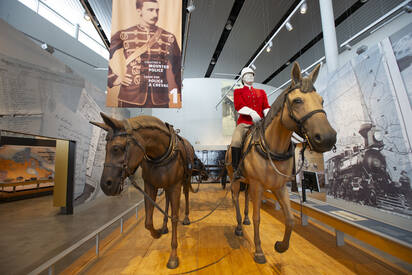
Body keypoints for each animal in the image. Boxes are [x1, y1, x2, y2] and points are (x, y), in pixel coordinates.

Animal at [91, 113, 196, 270]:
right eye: (105, 148)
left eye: (116, 148)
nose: (105, 185)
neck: (160, 154)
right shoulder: (150, 186)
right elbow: (148, 221)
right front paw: (157, 233)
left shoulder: (175, 186)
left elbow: (175, 217)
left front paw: (173, 256)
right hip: (166, 185)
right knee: (167, 202)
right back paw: (164, 226)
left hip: (186, 179)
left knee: (187, 195)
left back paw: (186, 218)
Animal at [227, 62, 336, 266]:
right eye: (297, 100)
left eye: (322, 100)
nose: (327, 138)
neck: (271, 146)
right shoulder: (258, 186)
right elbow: (258, 217)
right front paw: (259, 251)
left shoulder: (279, 186)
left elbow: (291, 219)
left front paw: (281, 246)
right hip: (235, 179)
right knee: (236, 198)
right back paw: (238, 225)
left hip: (248, 182)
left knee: (245, 199)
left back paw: (244, 220)